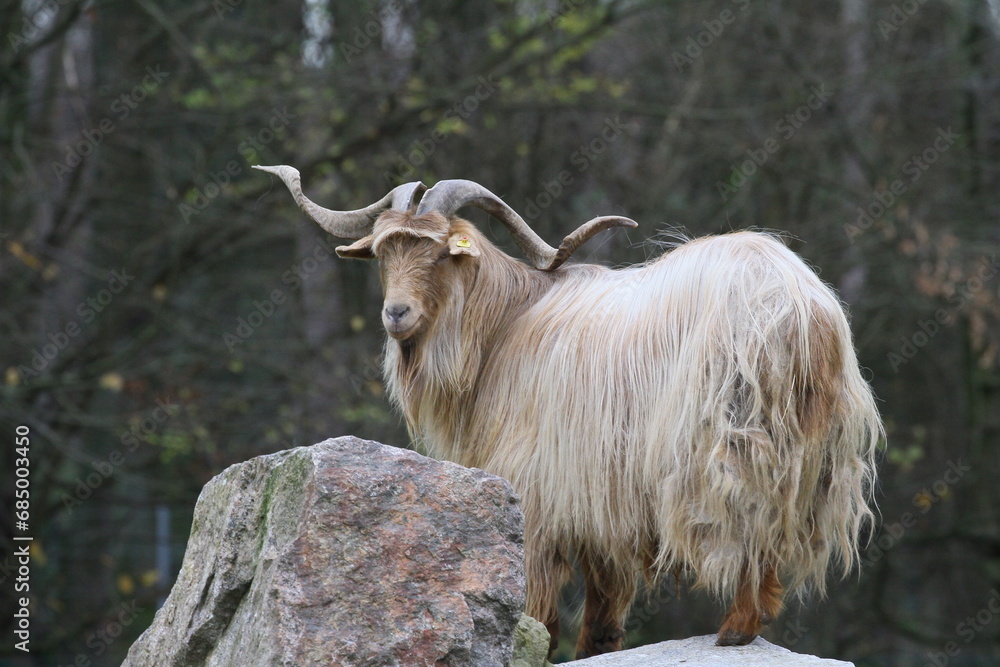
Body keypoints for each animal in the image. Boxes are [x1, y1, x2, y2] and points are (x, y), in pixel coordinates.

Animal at [255, 165, 881, 659]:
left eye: (440, 251)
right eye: (385, 251)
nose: (396, 315)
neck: (506, 324)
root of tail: (793, 308)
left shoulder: (541, 488)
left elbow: (539, 603)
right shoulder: (599, 497)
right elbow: (603, 606)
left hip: (722, 442)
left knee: (747, 520)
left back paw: (735, 628)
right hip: (805, 453)